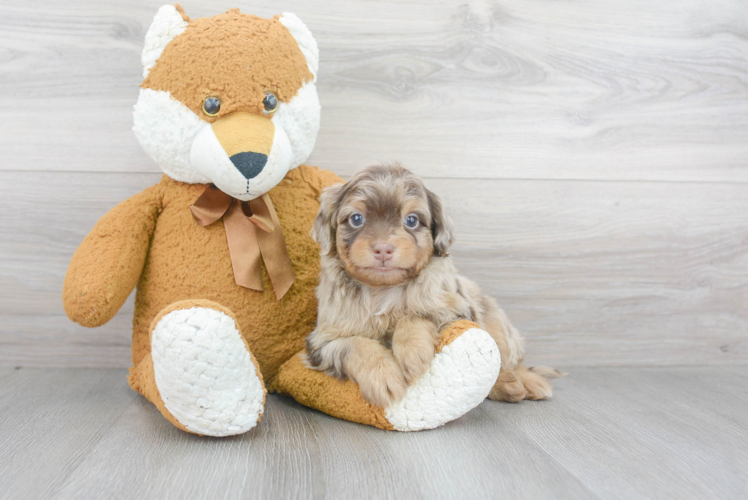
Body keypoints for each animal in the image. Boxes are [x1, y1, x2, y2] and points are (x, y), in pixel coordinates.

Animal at [304, 166, 560, 408]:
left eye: (411, 220)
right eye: (356, 219)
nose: (383, 248)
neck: (382, 290)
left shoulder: (454, 307)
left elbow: (416, 314)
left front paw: (412, 352)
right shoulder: (321, 340)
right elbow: (353, 344)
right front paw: (383, 376)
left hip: (496, 321)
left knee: (508, 362)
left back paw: (521, 383)